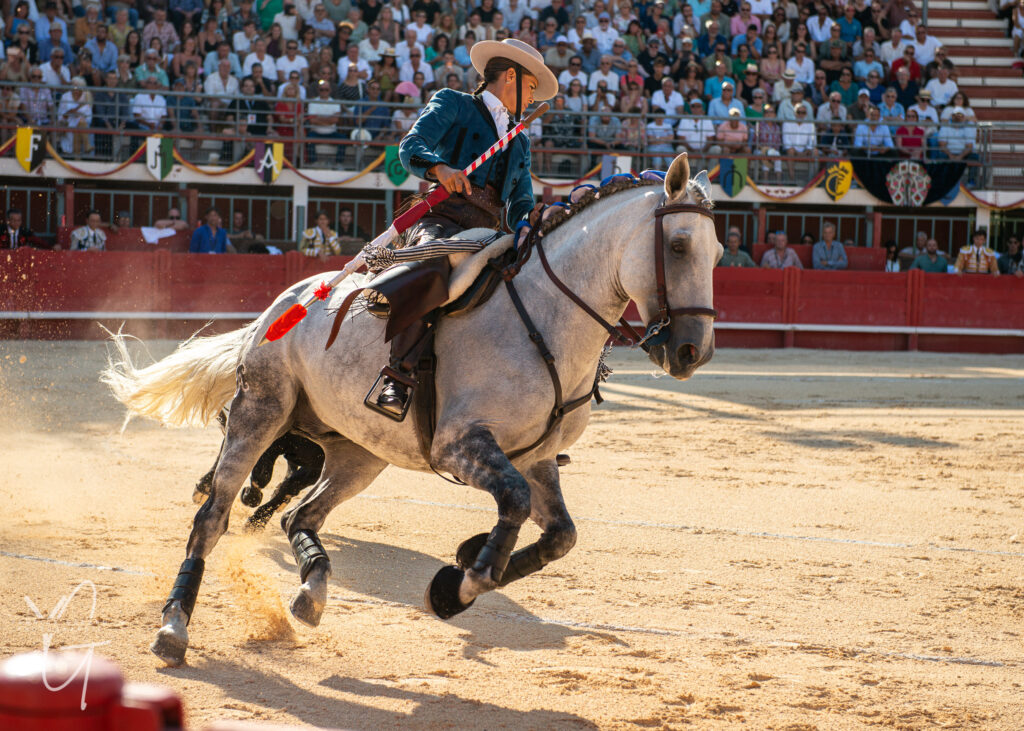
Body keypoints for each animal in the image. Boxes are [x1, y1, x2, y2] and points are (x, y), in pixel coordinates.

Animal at [102, 154, 722, 667]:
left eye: (717, 254)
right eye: (679, 246)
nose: (692, 351)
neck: (545, 318)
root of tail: (281, 304)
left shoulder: (539, 458)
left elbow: (560, 536)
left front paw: (458, 575)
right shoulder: (461, 444)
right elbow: (514, 506)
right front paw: (462, 581)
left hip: (359, 453)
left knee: (299, 515)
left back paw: (310, 593)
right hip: (261, 411)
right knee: (214, 515)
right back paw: (173, 629)